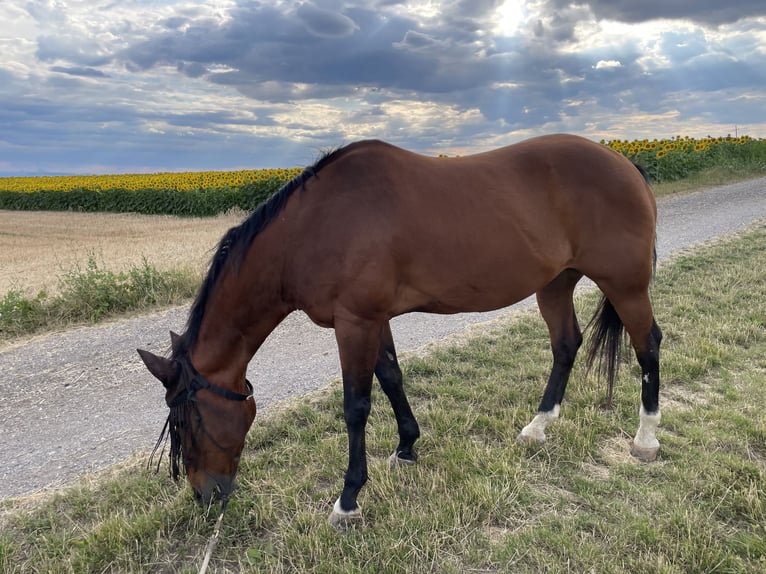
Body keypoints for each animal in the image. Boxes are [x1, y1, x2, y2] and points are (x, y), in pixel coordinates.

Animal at [137, 134, 662, 528]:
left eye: (184, 422)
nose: (205, 496)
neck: (313, 228)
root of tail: (623, 162)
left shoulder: (355, 322)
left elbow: (356, 406)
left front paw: (348, 500)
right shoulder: (375, 320)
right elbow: (391, 379)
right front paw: (407, 447)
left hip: (625, 285)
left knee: (648, 346)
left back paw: (645, 440)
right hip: (555, 283)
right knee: (565, 345)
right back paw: (538, 426)